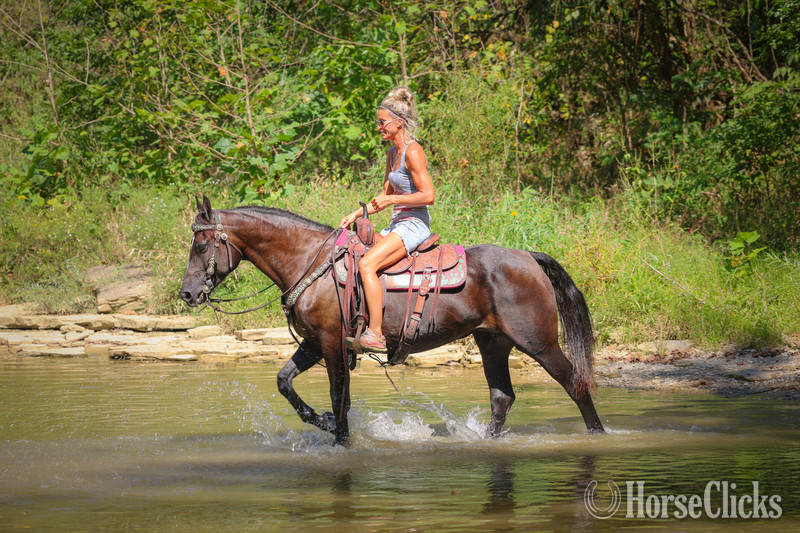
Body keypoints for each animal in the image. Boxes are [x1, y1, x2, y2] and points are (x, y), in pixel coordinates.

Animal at [180, 196, 604, 445]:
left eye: (200, 246)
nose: (186, 293)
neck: (308, 260)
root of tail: (529, 257)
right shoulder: (315, 342)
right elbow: (285, 382)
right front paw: (322, 422)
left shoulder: (332, 342)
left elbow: (338, 395)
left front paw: (340, 439)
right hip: (492, 341)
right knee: (502, 397)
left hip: (538, 342)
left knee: (575, 383)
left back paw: (598, 435)